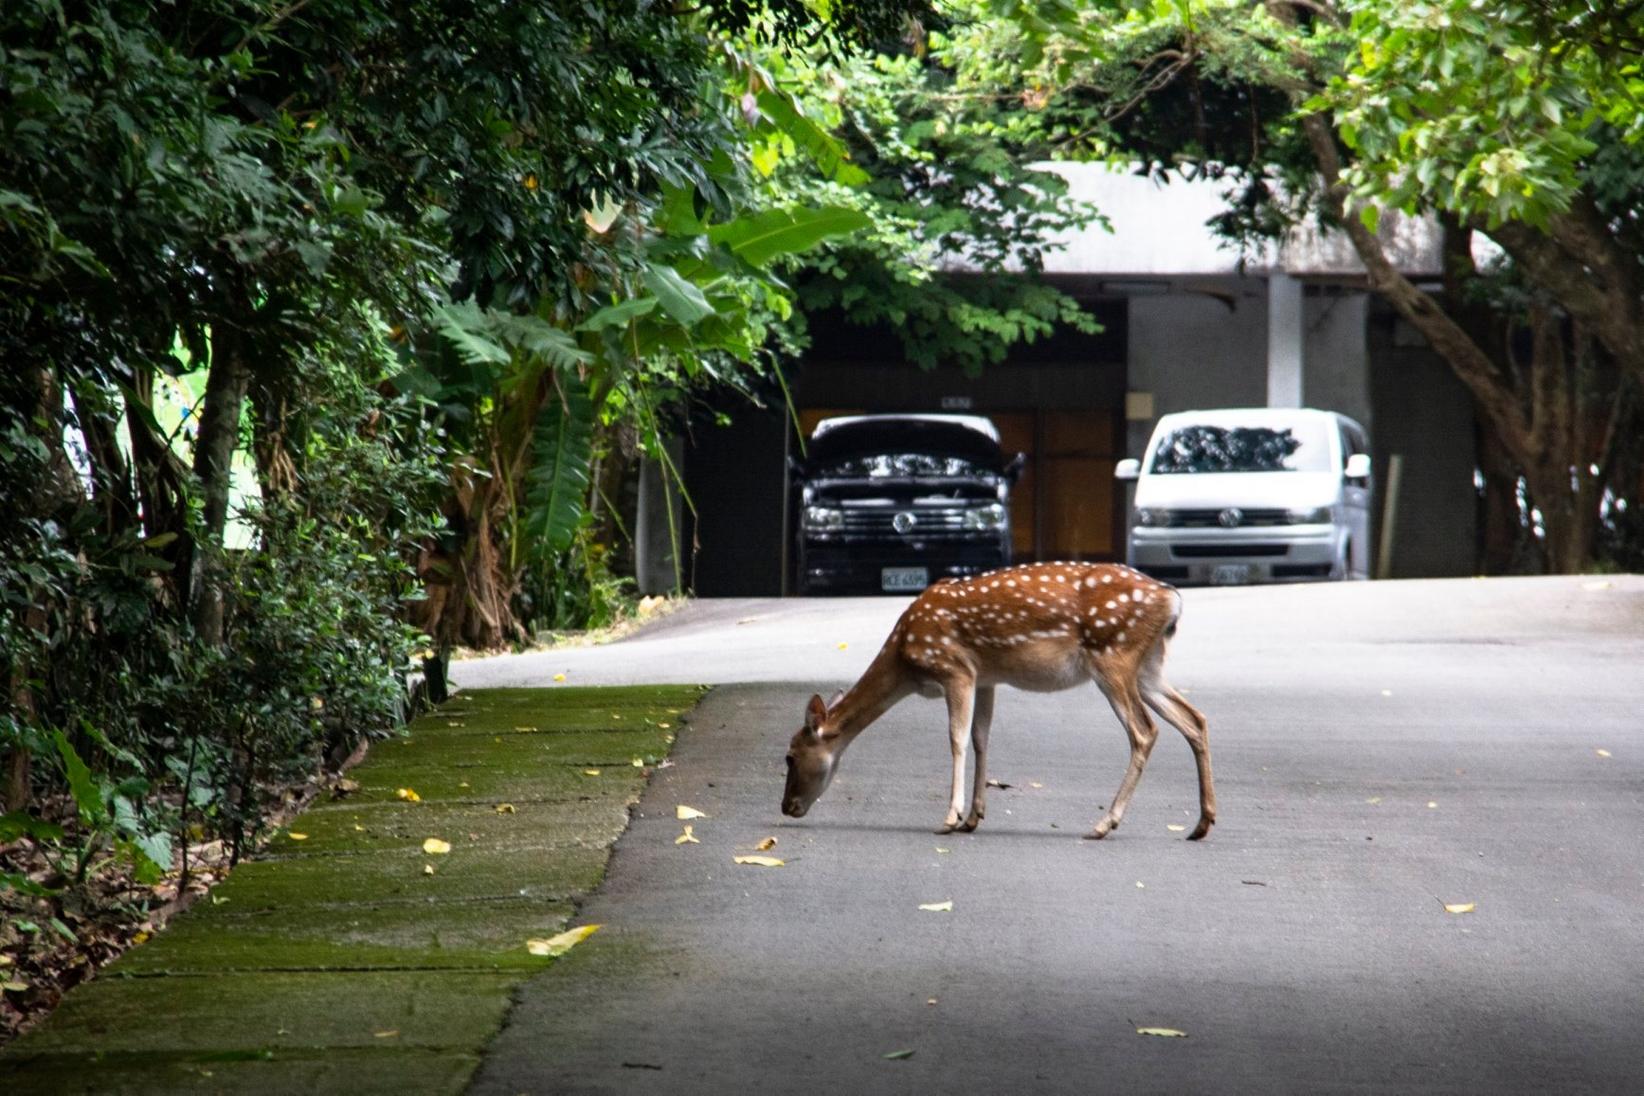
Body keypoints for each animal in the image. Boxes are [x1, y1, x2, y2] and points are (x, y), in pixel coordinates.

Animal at [775, 561, 1216, 847]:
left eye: (790, 756)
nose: (786, 806)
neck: (905, 656)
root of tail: (1172, 600)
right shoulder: (986, 677)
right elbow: (981, 738)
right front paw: (973, 817)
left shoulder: (955, 668)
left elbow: (956, 739)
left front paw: (950, 818)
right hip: (1148, 665)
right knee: (1195, 718)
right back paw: (1201, 823)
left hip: (1113, 654)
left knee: (1144, 731)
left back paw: (1104, 823)